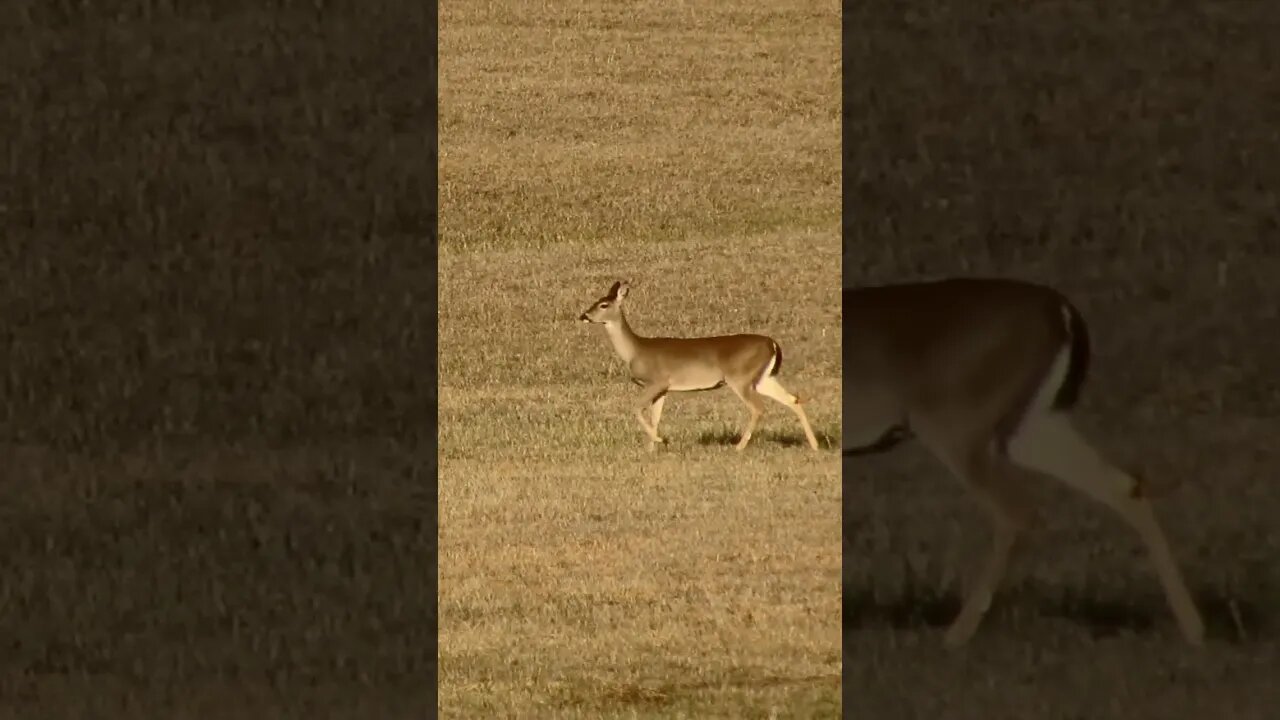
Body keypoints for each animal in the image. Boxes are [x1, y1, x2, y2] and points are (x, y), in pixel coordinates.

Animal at [578, 280, 821, 452]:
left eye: (603, 304)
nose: (584, 315)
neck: (636, 350)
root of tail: (773, 344)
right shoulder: (663, 389)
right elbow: (655, 417)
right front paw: (651, 448)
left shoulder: (656, 381)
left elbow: (635, 408)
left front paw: (660, 440)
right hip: (763, 378)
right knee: (793, 400)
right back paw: (815, 445)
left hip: (740, 378)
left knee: (758, 408)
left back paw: (739, 446)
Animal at [843, 277, 1205, 647]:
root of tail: (1063, 313)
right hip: (1033, 425)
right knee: (1124, 487)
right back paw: (1194, 630)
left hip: (956, 423)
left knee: (1016, 512)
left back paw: (956, 634)